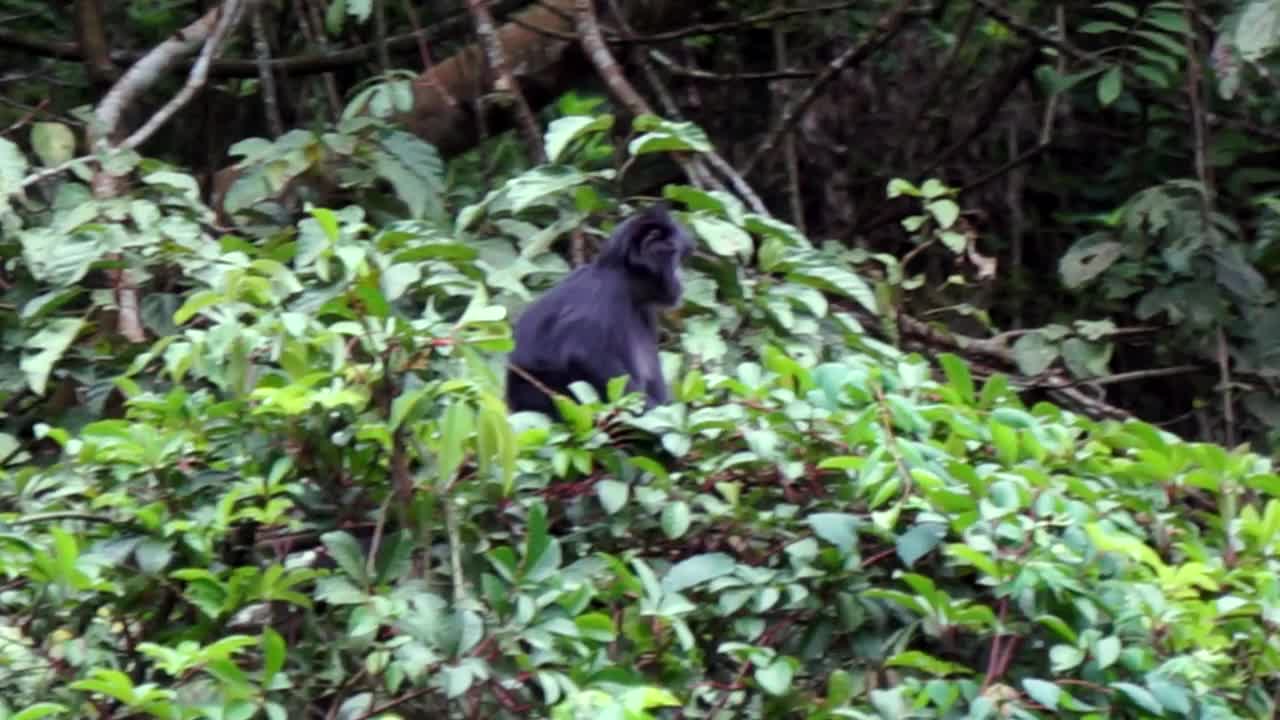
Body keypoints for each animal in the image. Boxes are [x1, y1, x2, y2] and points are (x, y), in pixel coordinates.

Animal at [504, 203, 696, 415]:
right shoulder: (607, 291)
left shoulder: (645, 311)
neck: (627, 284)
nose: (681, 277)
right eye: (676, 261)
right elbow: (582, 353)